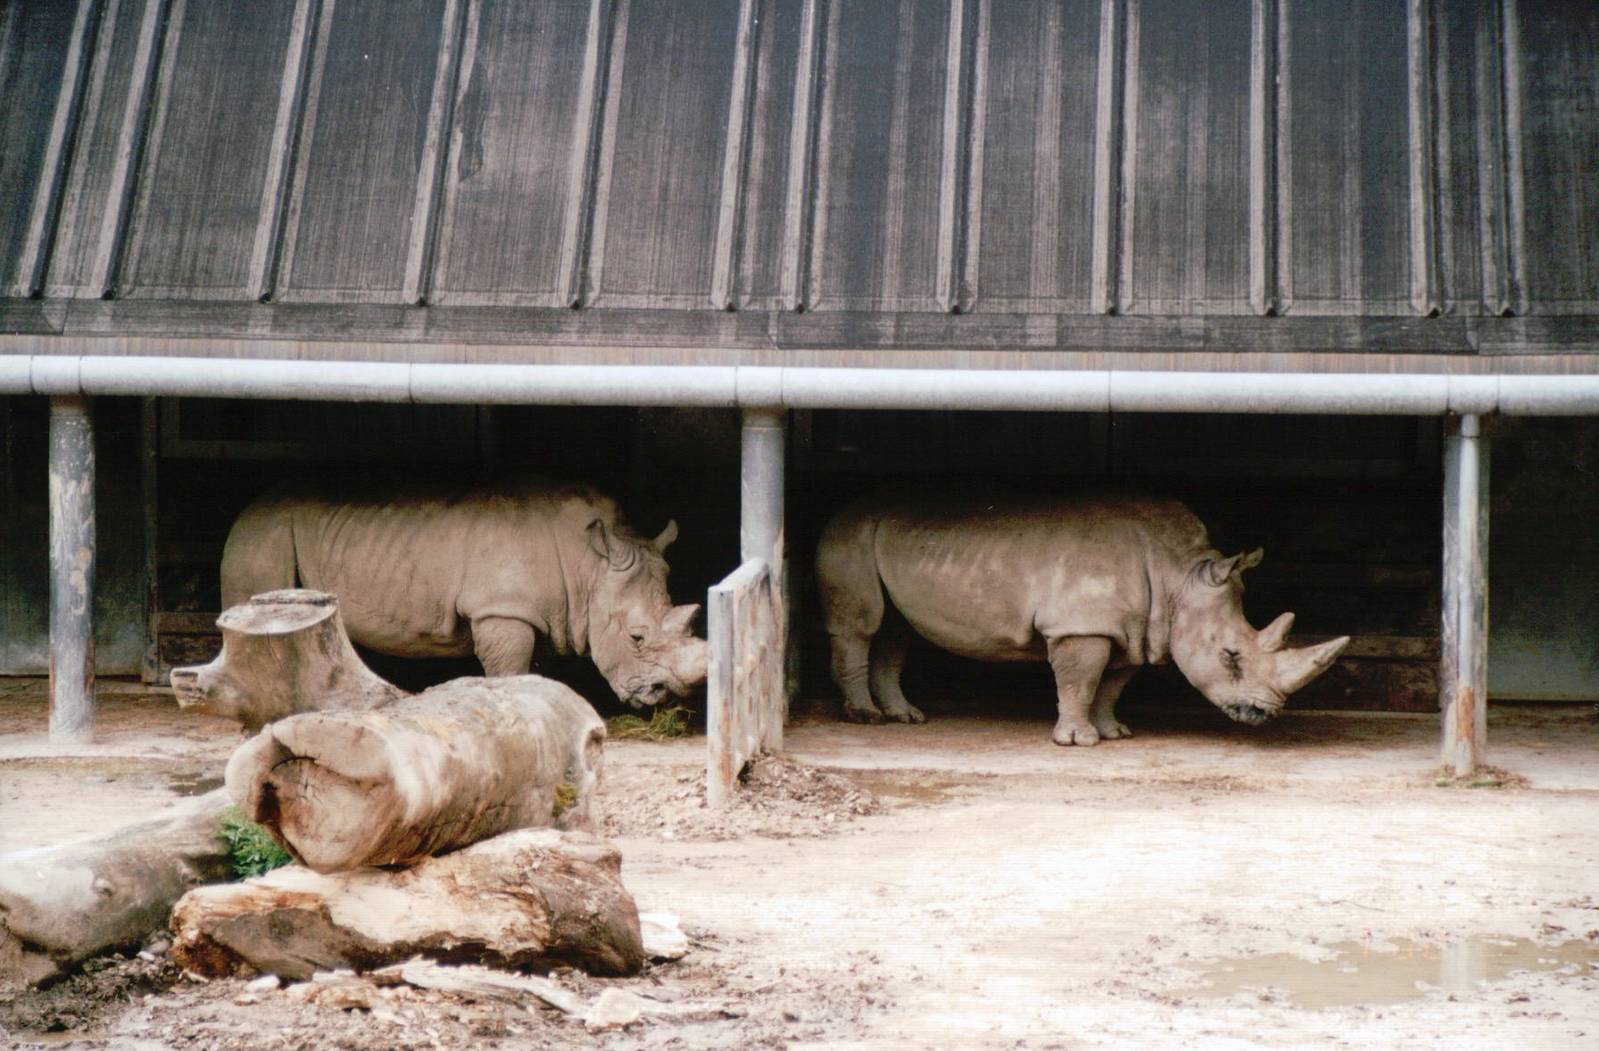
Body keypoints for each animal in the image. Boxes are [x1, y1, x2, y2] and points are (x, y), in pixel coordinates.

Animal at [220, 482, 708, 707]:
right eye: (636, 637)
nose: (664, 694)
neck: (589, 566)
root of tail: (250, 505)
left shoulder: (543, 612)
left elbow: (533, 670)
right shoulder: (502, 611)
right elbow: (511, 669)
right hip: (262, 536)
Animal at [816, 493, 1349, 745]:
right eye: (1230, 655)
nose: (1264, 713)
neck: (1178, 575)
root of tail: (839, 510)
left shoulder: (1135, 627)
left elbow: (1111, 683)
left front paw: (1114, 733)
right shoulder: (1081, 624)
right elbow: (1080, 680)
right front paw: (1077, 741)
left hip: (881, 538)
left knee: (896, 630)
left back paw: (904, 717)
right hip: (850, 537)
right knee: (862, 624)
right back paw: (865, 718)